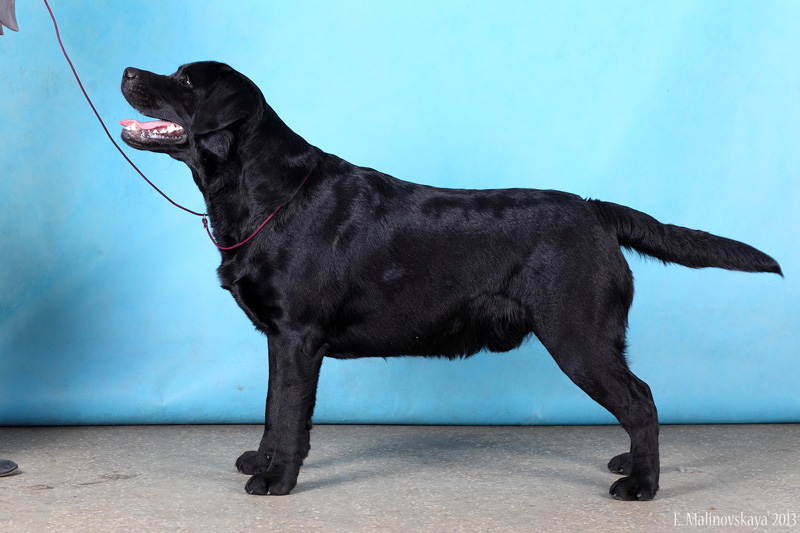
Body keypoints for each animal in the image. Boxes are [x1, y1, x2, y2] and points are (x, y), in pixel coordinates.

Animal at [120, 61, 781, 500]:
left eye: (185, 83)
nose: (128, 71)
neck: (266, 193)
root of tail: (597, 212)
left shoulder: (296, 337)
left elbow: (285, 413)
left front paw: (275, 478)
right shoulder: (280, 341)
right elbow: (270, 410)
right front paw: (260, 460)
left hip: (578, 336)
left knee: (641, 401)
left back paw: (642, 485)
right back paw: (628, 464)